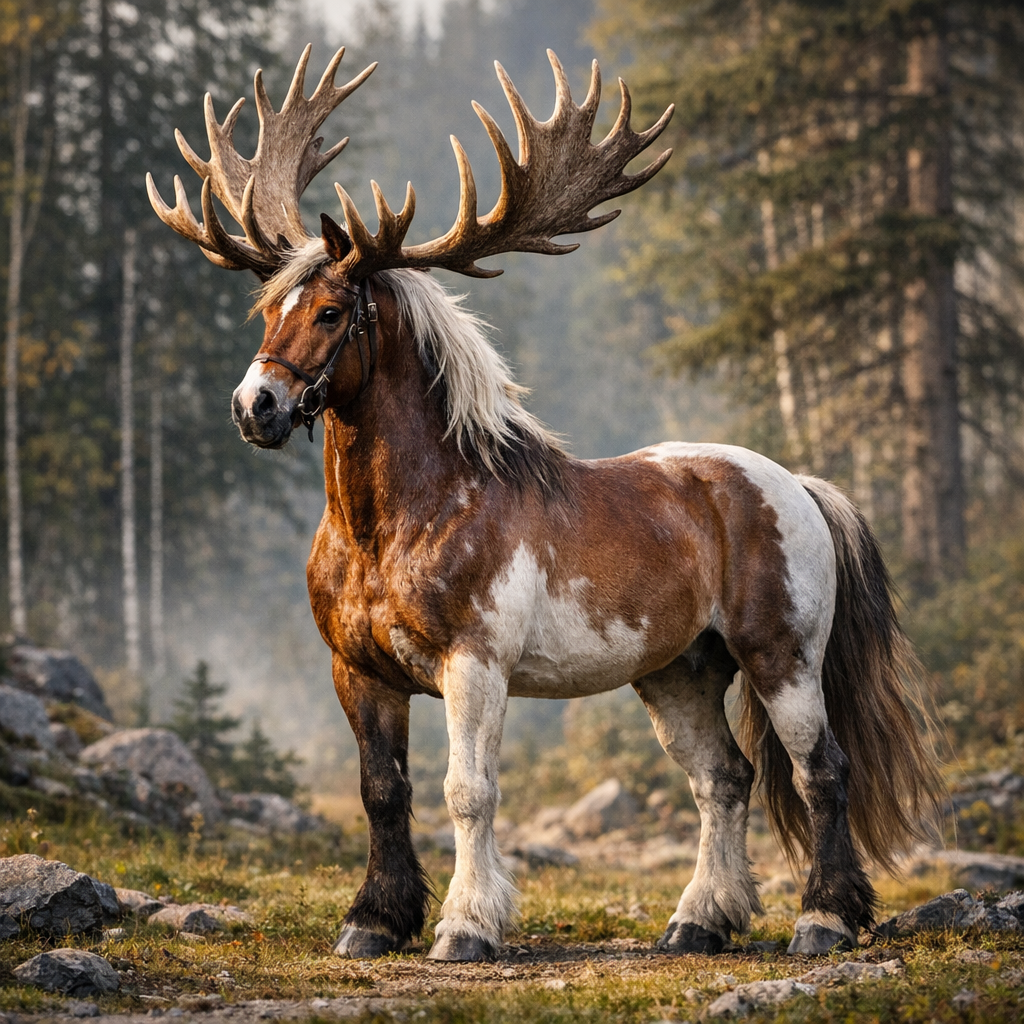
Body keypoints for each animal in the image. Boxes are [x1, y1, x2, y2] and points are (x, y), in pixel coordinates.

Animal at [148, 45, 942, 962]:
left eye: (332, 310)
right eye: (266, 306)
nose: (257, 408)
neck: (395, 527)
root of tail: (799, 487)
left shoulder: (474, 664)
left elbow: (469, 790)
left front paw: (466, 926)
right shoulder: (358, 671)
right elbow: (383, 790)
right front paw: (374, 919)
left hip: (784, 656)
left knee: (822, 770)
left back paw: (824, 918)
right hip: (680, 670)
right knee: (724, 778)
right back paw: (698, 921)